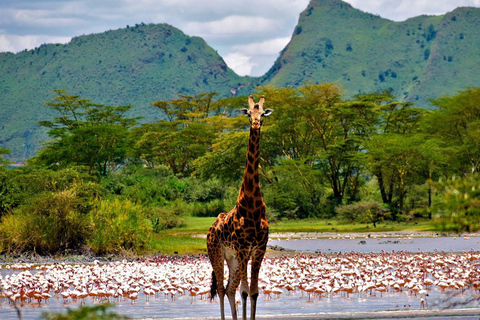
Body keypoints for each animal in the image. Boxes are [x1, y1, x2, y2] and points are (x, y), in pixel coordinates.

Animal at [206, 94, 274, 318]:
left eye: (263, 114)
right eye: (249, 113)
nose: (256, 124)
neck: (252, 205)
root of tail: (211, 228)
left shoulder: (259, 249)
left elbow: (253, 292)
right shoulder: (244, 249)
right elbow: (245, 292)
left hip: (233, 259)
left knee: (229, 289)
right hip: (216, 253)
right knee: (221, 288)